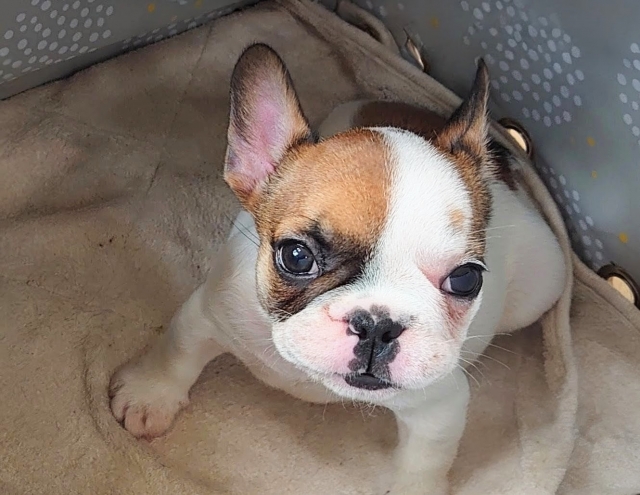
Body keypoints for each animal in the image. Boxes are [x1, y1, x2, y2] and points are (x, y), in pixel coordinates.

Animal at [109, 43, 566, 494]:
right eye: (296, 256)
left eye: (466, 279)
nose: (378, 325)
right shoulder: (211, 312)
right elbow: (178, 352)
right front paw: (150, 394)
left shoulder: (439, 403)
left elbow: (424, 461)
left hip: (542, 287)